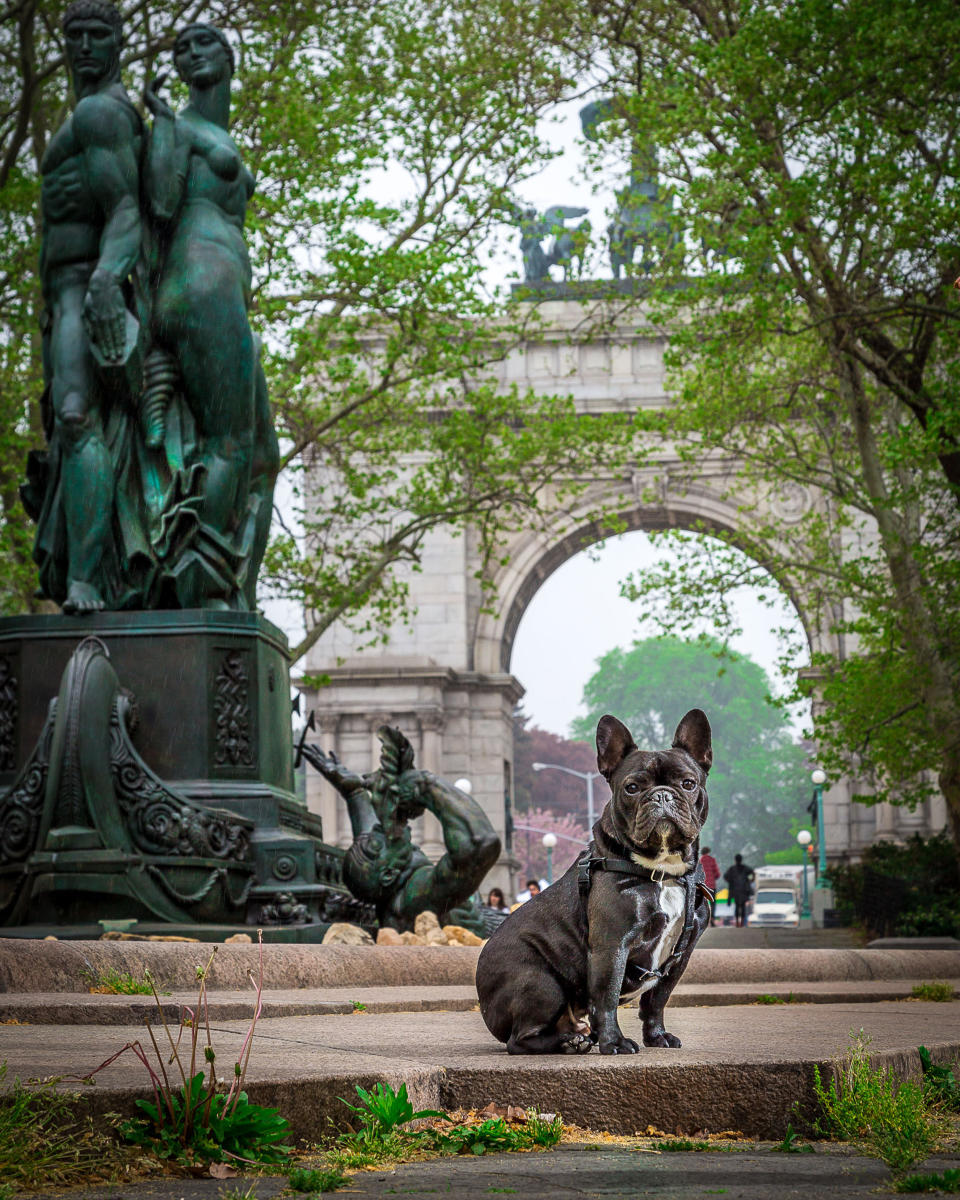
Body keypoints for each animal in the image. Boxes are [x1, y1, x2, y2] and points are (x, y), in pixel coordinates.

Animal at [477, 705, 710, 1056]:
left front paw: (656, 1036)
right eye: (632, 788)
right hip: (541, 982)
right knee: (519, 1039)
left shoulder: (684, 951)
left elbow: (657, 1000)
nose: (662, 796)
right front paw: (614, 1042)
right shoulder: (611, 946)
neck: (662, 870)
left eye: (688, 783)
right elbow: (607, 996)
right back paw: (569, 1043)